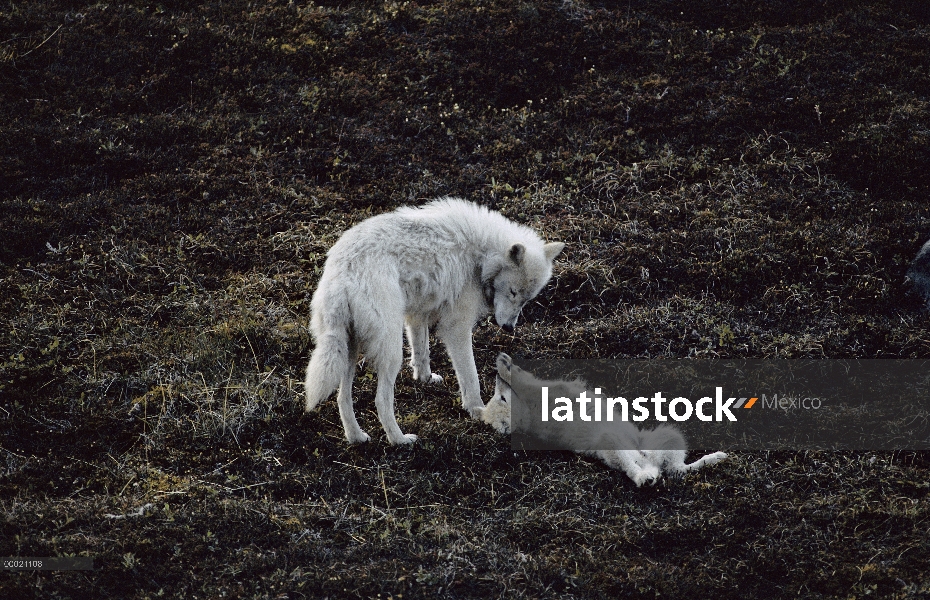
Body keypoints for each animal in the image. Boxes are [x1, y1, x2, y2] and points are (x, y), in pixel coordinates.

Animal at [308, 198, 560, 446]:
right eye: (513, 292)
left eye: (526, 299)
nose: (508, 328)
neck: (482, 255)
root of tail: (342, 274)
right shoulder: (456, 328)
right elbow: (471, 377)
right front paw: (478, 410)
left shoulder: (417, 315)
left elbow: (422, 353)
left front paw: (425, 379)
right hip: (390, 352)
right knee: (380, 400)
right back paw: (400, 440)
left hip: (349, 351)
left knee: (342, 398)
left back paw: (356, 437)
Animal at [482, 354, 728, 486]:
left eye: (500, 397)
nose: (495, 379)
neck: (529, 414)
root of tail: (648, 462)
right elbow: (524, 380)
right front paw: (504, 364)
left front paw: (502, 363)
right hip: (610, 444)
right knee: (633, 467)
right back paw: (644, 478)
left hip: (668, 436)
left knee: (678, 468)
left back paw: (715, 458)